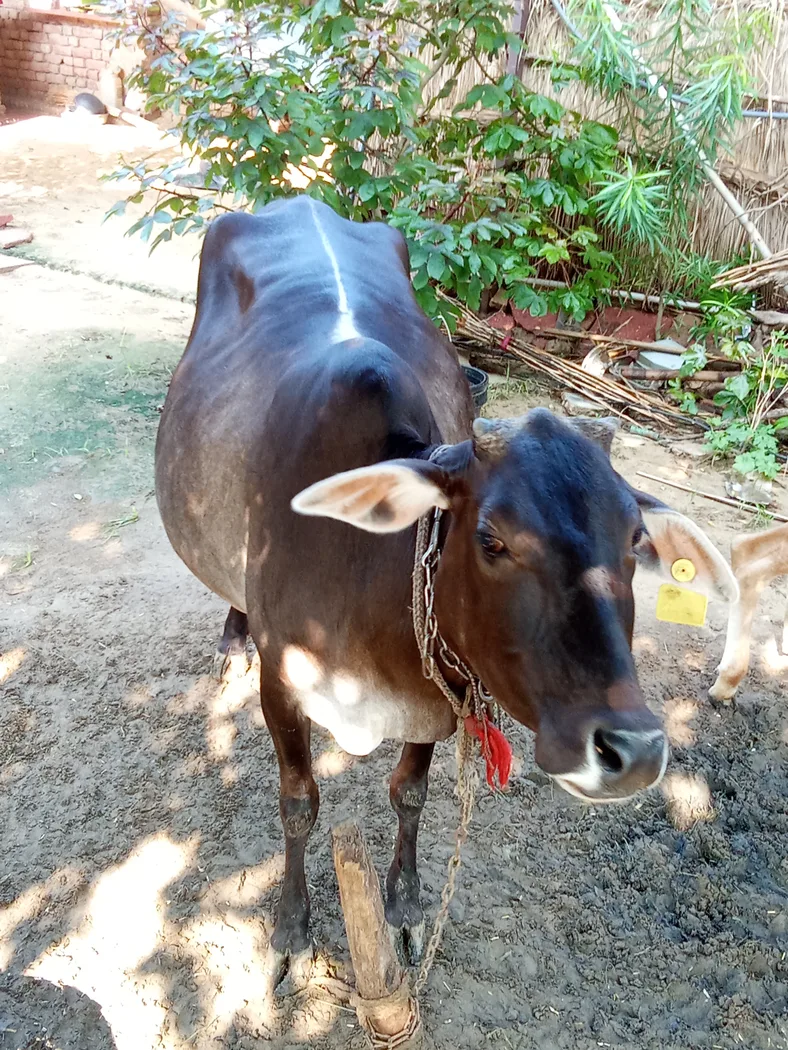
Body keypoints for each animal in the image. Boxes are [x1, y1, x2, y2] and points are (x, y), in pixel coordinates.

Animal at [154, 196, 737, 989]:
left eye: (634, 541)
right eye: (491, 538)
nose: (634, 751)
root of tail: (298, 201)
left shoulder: (440, 685)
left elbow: (410, 791)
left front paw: (403, 911)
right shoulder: (285, 683)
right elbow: (299, 802)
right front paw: (290, 932)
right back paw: (231, 636)